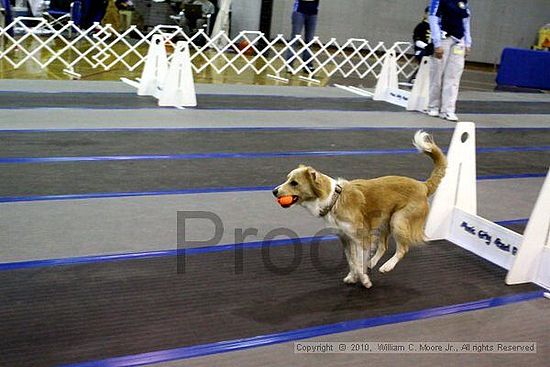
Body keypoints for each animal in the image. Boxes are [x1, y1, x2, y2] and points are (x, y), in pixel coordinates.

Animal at [272, 131, 448, 288]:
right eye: (287, 179)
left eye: (294, 183)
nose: (274, 191)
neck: (334, 199)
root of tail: (423, 185)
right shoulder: (345, 238)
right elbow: (352, 261)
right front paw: (354, 276)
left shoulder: (361, 236)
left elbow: (358, 261)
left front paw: (364, 279)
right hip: (383, 222)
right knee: (383, 246)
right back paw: (372, 263)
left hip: (398, 220)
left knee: (403, 248)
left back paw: (387, 266)